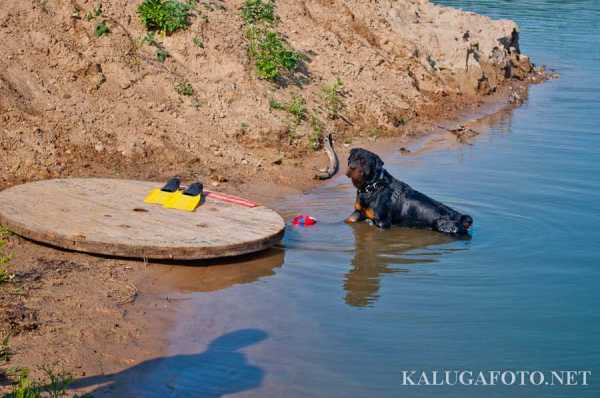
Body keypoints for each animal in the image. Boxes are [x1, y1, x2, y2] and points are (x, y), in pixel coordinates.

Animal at [346, 149, 474, 235]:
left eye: (363, 161)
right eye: (350, 159)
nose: (351, 167)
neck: (371, 187)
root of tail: (461, 217)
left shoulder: (382, 222)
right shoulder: (358, 212)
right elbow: (348, 220)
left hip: (444, 226)